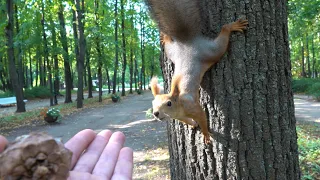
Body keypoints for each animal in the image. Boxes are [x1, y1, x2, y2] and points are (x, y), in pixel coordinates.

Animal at [146, 0, 249, 143]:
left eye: (169, 103)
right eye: (153, 103)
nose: (155, 113)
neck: (179, 106)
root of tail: (187, 43)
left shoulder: (192, 107)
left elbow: (202, 117)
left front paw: (205, 134)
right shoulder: (179, 117)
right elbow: (188, 121)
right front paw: (193, 124)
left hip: (211, 52)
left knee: (222, 38)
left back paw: (231, 27)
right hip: (172, 52)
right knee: (168, 46)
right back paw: (166, 37)